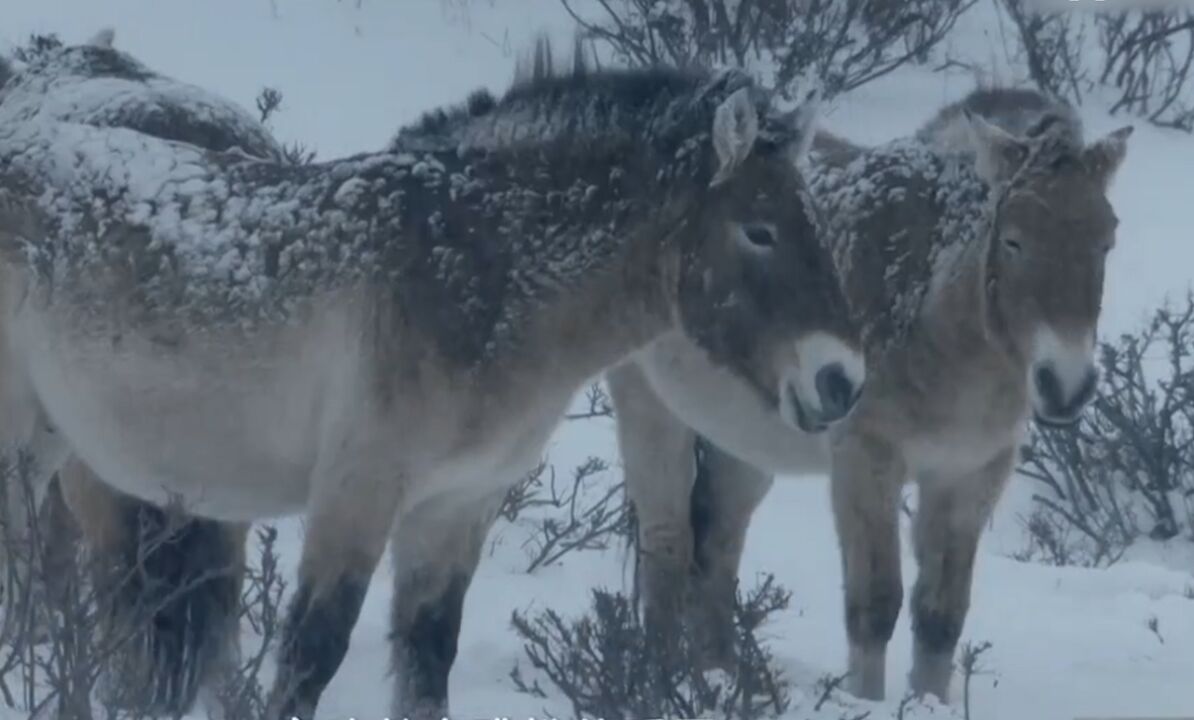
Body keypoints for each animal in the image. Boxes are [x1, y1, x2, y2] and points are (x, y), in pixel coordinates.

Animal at [0, 35, 864, 720]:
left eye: (818, 225)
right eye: (759, 230)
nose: (842, 381)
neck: (479, 280)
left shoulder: (456, 509)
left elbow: (425, 664)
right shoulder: (357, 494)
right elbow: (309, 658)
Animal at [606, 85, 1127, 702]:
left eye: (1106, 239)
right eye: (1014, 239)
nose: (1065, 385)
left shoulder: (970, 475)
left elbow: (940, 617)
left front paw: (927, 703)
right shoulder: (867, 461)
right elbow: (874, 607)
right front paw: (865, 702)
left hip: (747, 440)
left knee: (717, 548)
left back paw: (724, 682)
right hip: (648, 405)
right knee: (666, 543)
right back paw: (660, 684)